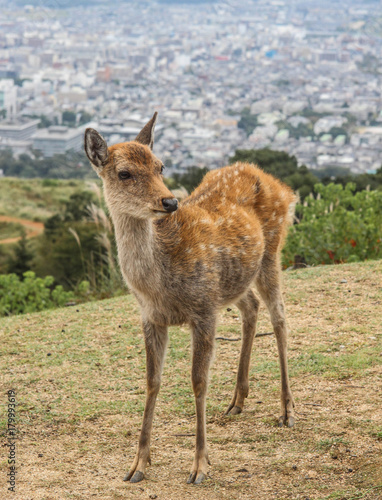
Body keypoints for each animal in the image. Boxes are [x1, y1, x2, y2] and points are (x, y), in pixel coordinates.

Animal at [85, 113, 296, 484]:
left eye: (161, 166)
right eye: (124, 173)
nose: (169, 202)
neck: (158, 284)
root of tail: (283, 188)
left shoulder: (203, 309)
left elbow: (198, 381)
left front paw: (199, 466)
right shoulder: (151, 317)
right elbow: (152, 381)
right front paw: (138, 465)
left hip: (272, 250)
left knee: (280, 317)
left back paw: (286, 409)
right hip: (233, 281)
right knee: (251, 307)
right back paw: (237, 400)